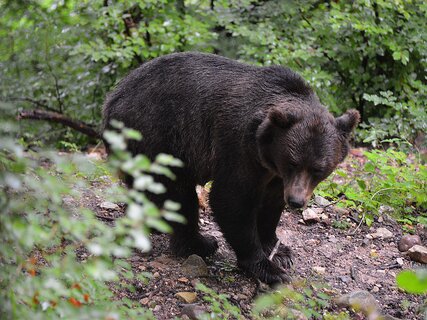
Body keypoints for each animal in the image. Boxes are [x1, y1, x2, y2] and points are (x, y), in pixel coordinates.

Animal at [103, 52, 362, 284]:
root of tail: (113, 98)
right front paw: (267, 267)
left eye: (318, 169)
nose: (297, 201)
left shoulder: (274, 173)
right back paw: (200, 243)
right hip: (158, 136)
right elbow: (232, 199)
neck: (265, 152)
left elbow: (271, 204)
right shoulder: (239, 147)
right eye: (293, 163)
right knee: (177, 193)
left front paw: (279, 250)